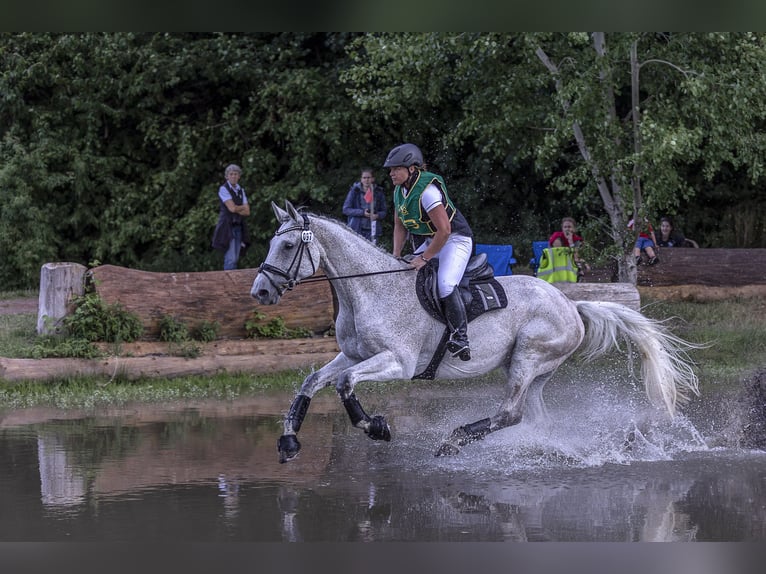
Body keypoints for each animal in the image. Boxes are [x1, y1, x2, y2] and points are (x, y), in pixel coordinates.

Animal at [252, 200, 700, 463]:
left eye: (288, 247)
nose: (260, 291)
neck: (368, 289)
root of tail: (571, 305)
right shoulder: (355, 355)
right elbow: (312, 381)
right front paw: (289, 442)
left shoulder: (396, 362)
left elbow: (345, 384)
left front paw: (376, 427)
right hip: (533, 370)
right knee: (533, 417)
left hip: (528, 357)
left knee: (510, 413)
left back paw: (453, 441)